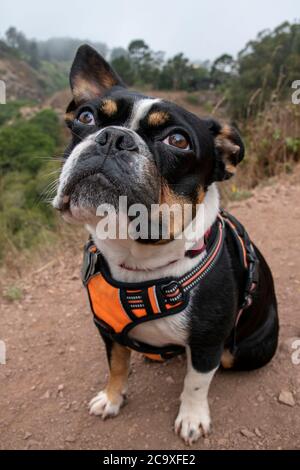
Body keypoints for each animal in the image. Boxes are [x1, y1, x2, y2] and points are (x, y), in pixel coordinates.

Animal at [52, 45, 278, 444]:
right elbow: (116, 366)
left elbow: (196, 383)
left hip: (242, 349)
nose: (113, 137)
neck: (137, 258)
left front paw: (192, 419)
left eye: (178, 141)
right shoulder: (108, 331)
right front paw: (112, 398)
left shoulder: (207, 344)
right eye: (85, 116)